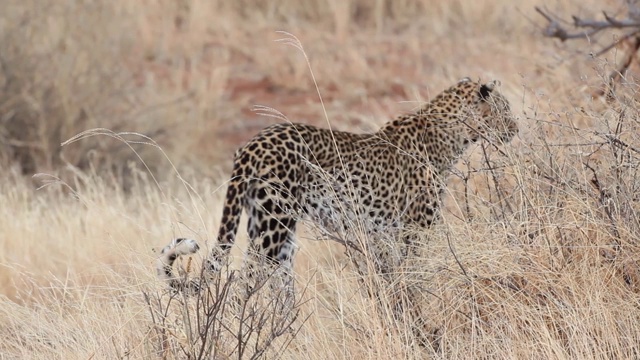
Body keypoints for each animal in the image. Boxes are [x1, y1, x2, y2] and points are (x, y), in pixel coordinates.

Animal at [158, 77, 516, 292]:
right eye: (505, 109)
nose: (515, 128)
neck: (454, 134)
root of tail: (251, 144)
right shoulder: (416, 227)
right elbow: (416, 270)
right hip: (274, 223)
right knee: (246, 279)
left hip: (270, 227)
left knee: (269, 280)